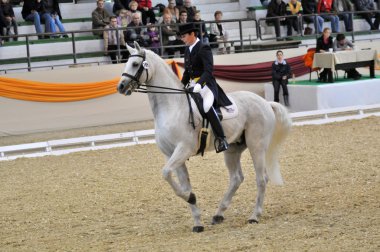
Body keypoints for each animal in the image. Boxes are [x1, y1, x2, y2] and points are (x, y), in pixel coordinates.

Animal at [116, 41, 290, 232]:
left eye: (135, 64)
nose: (121, 87)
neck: (172, 107)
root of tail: (265, 102)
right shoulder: (171, 154)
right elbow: (180, 181)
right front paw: (197, 221)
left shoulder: (183, 149)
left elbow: (165, 173)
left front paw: (190, 197)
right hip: (233, 149)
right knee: (236, 178)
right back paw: (218, 214)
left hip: (256, 145)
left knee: (261, 179)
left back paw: (254, 216)